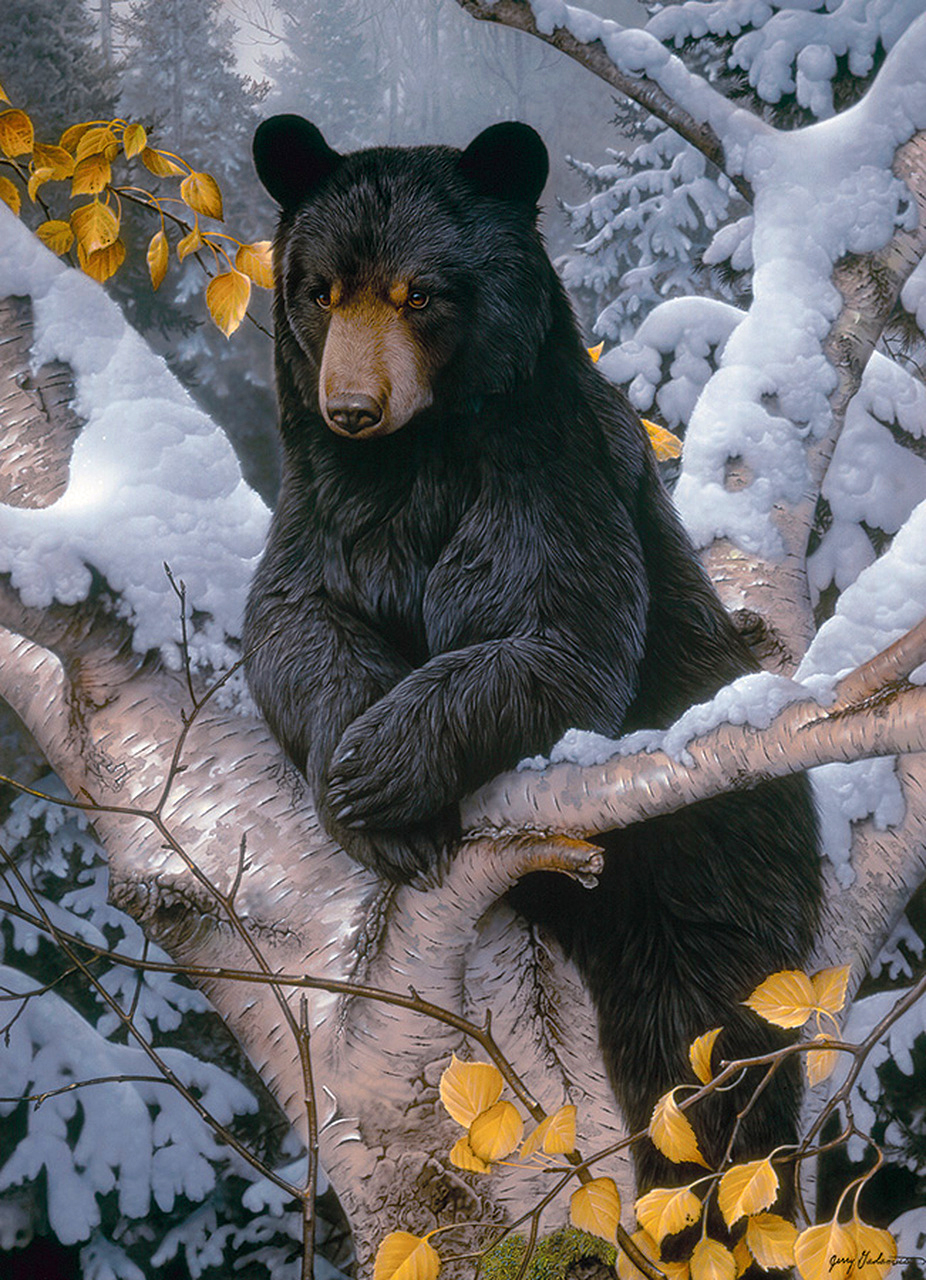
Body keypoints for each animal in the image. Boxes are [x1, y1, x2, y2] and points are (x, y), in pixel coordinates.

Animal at [244, 117, 819, 1218]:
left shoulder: (543, 470)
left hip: (711, 855)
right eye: (320, 290)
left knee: (704, 1043)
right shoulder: (325, 503)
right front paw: (361, 788)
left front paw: (383, 768)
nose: (350, 405)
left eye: (418, 293)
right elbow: (293, 622)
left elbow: (557, 636)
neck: (411, 459)